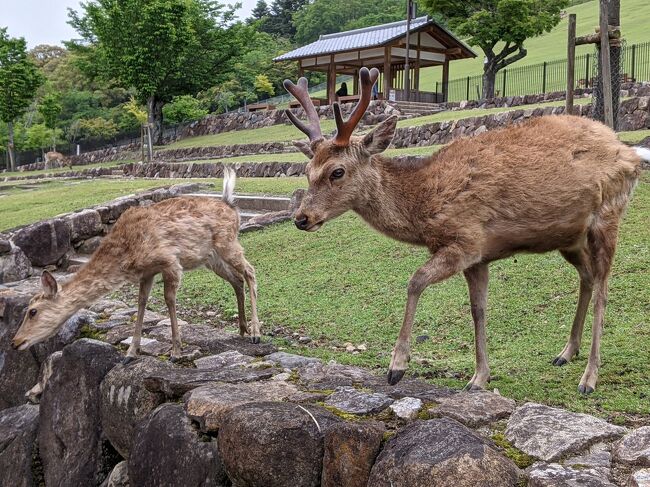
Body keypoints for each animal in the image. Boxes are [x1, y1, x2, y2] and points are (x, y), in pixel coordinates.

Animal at [284, 66, 644, 394]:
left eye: (337, 171)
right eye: (307, 170)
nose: (301, 218)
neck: (425, 209)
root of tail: (629, 152)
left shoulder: (466, 240)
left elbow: (415, 281)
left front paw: (397, 365)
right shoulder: (479, 257)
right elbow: (478, 310)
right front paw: (479, 377)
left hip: (608, 214)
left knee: (603, 288)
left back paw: (589, 377)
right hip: (569, 237)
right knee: (587, 277)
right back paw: (566, 352)